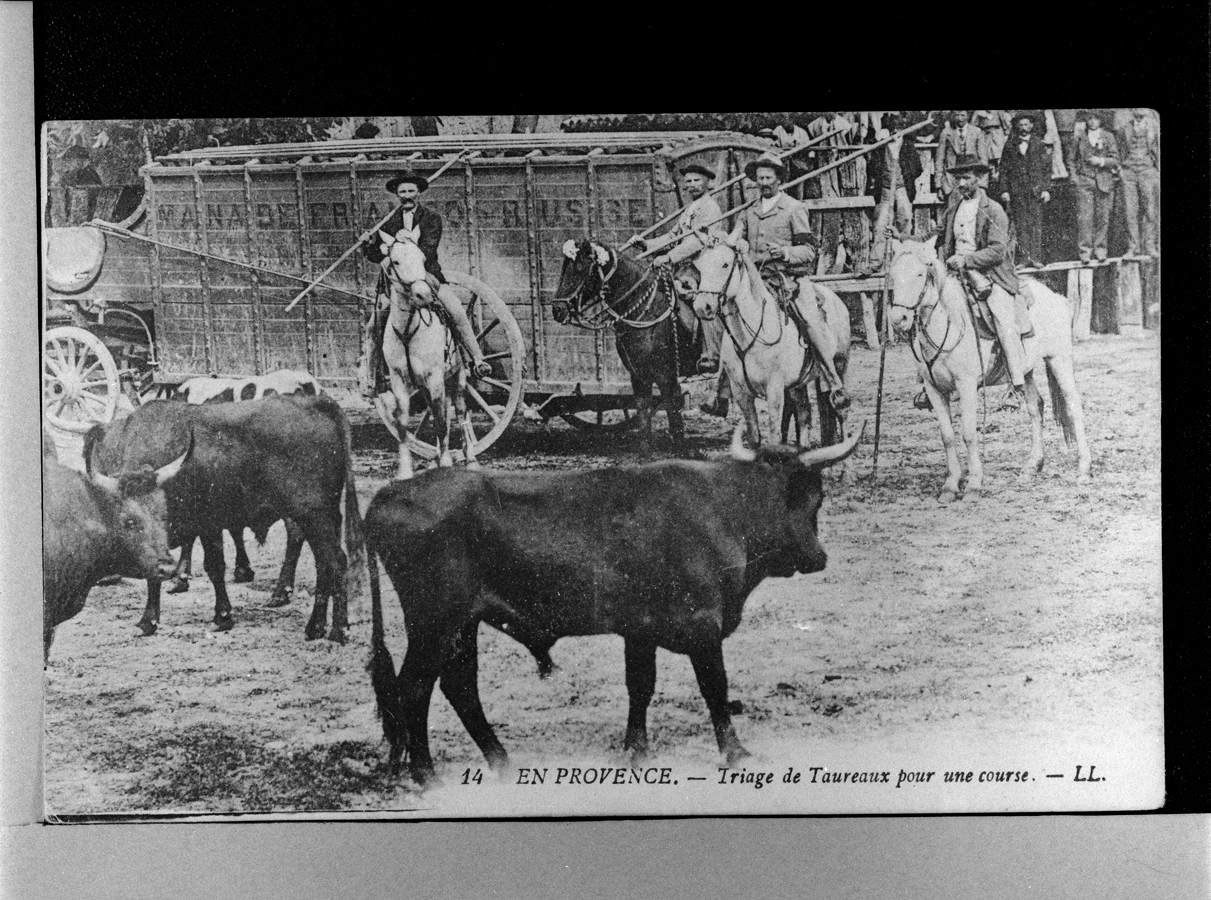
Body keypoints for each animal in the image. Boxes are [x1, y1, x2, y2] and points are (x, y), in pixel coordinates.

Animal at [84, 397, 363, 644]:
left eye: (160, 513)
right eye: (130, 520)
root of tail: (316, 403)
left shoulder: (206, 525)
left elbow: (213, 566)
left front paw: (219, 616)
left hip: (313, 517)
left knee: (335, 562)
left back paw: (338, 630)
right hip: (325, 518)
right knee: (322, 565)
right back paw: (314, 626)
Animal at [365, 421, 862, 780]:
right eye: (817, 497)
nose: (819, 557)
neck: (726, 510)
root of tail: (390, 493)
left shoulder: (639, 629)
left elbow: (640, 686)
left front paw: (636, 750)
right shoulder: (703, 626)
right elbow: (715, 688)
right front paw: (736, 752)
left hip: (461, 625)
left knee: (460, 687)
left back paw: (501, 763)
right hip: (434, 623)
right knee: (415, 688)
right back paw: (426, 774)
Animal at [375, 232, 479, 482]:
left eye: (423, 259)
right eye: (395, 262)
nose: (423, 294)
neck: (407, 331)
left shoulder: (435, 378)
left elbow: (442, 424)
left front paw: (447, 463)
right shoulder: (400, 382)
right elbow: (404, 425)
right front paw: (405, 471)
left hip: (457, 379)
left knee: (459, 412)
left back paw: (470, 459)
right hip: (427, 386)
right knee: (438, 413)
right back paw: (436, 459)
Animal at [692, 236, 852, 465]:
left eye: (725, 264)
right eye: (700, 266)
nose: (702, 306)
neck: (751, 335)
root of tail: (837, 300)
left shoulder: (774, 390)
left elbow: (775, 436)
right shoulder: (741, 392)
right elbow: (755, 439)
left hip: (839, 366)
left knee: (841, 409)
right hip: (797, 385)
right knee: (805, 414)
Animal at [886, 232, 1094, 503]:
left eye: (920, 274)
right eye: (893, 273)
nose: (898, 319)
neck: (950, 322)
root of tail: (1057, 297)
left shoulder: (966, 385)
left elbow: (968, 433)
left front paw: (974, 484)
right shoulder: (933, 389)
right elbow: (947, 436)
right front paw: (950, 485)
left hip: (1058, 359)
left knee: (1073, 405)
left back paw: (1084, 469)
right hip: (1024, 371)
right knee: (1035, 408)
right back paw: (1032, 466)